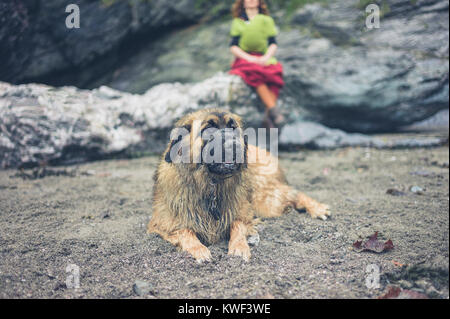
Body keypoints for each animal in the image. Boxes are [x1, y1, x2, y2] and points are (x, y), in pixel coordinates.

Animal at [149, 109, 330, 264]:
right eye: (208, 129)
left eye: (233, 127)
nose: (233, 142)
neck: (212, 185)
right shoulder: (164, 222)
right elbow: (185, 231)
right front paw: (199, 249)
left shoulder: (242, 210)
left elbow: (238, 224)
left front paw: (239, 247)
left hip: (263, 200)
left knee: (293, 194)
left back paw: (317, 208)